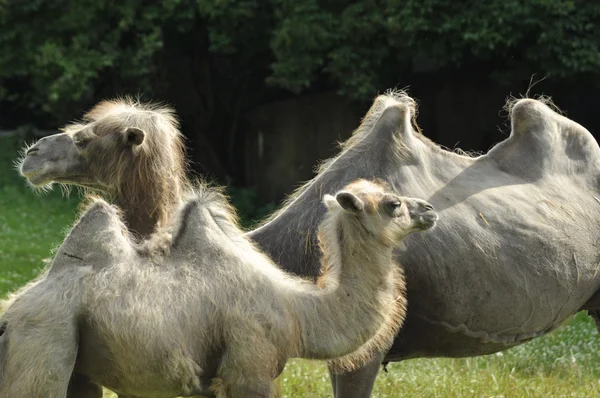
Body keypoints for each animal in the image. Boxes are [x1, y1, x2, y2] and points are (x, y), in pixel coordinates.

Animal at [0, 181, 436, 398]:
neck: (297, 311)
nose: (429, 210)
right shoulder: (250, 364)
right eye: (393, 204)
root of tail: (9, 313)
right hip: (44, 341)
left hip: (78, 365)